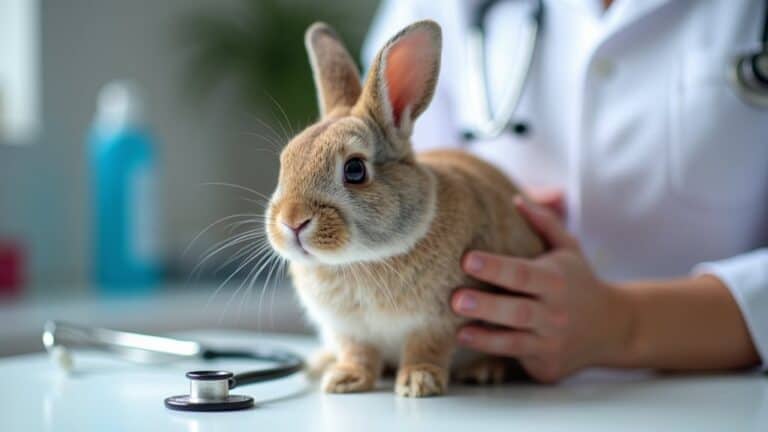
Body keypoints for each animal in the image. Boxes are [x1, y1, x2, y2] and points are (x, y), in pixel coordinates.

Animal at [265, 19, 545, 397]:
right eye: (286, 161)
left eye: (355, 170)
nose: (292, 221)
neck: (360, 261)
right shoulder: (348, 329)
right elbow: (358, 353)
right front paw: (345, 380)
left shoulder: (440, 319)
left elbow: (426, 347)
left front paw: (418, 383)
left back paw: (484, 370)